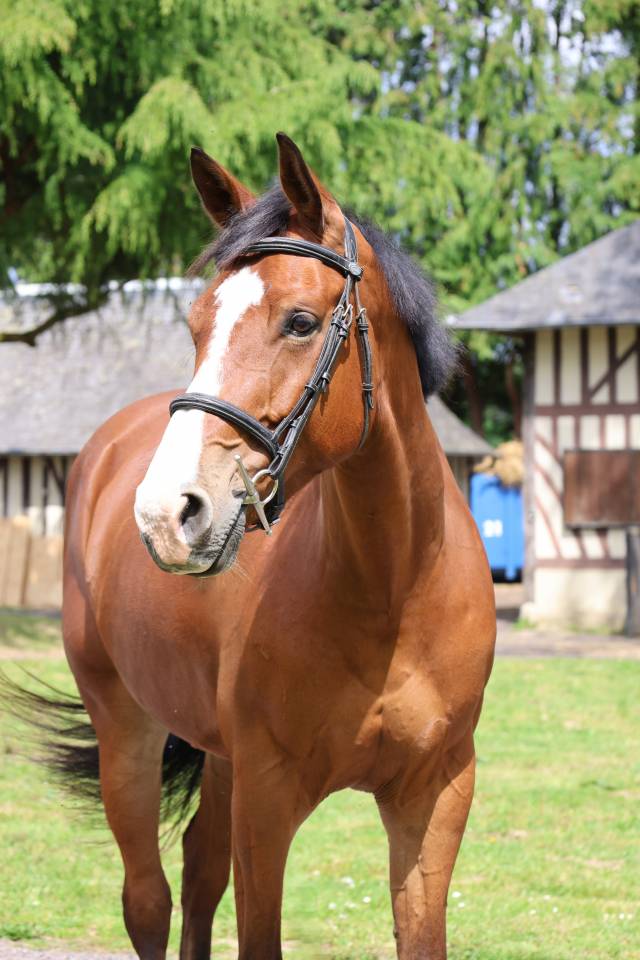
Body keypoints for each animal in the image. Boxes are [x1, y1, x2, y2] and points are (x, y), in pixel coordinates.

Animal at [33, 133, 496, 959]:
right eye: (196, 325)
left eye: (302, 322)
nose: (167, 513)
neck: (393, 588)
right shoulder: (268, 799)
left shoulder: (435, 795)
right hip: (127, 728)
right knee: (149, 900)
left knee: (199, 873)